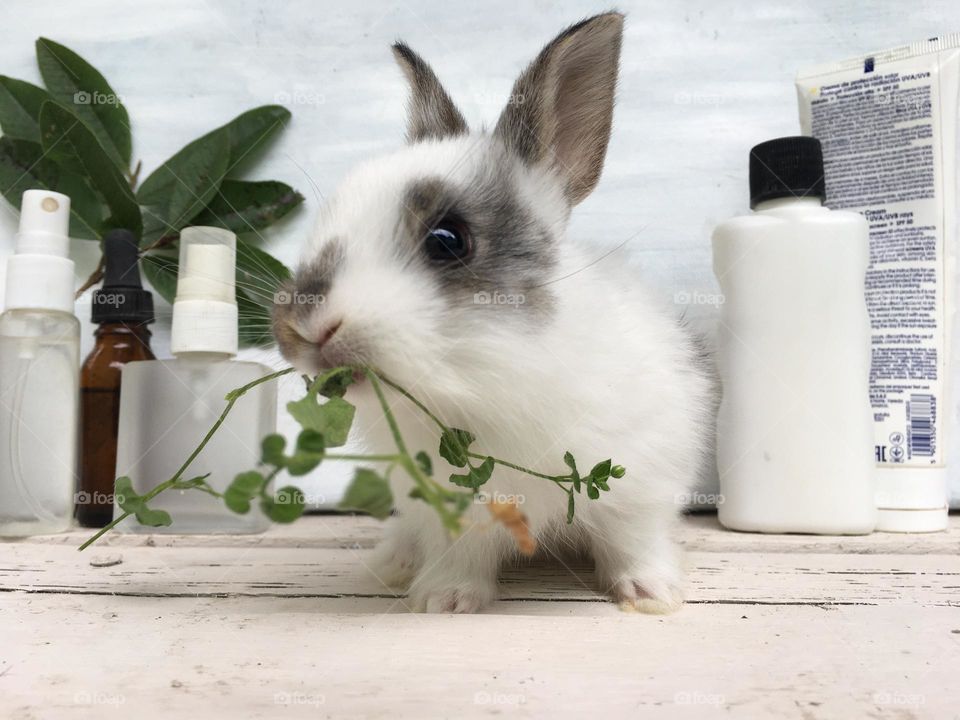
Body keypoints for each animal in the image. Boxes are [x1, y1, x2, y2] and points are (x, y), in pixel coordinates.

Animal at [273, 12, 715, 614]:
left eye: (448, 240)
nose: (304, 326)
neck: (490, 382)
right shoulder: (447, 507)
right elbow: (458, 552)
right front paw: (445, 600)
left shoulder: (641, 481)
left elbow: (632, 541)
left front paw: (652, 596)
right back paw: (390, 565)